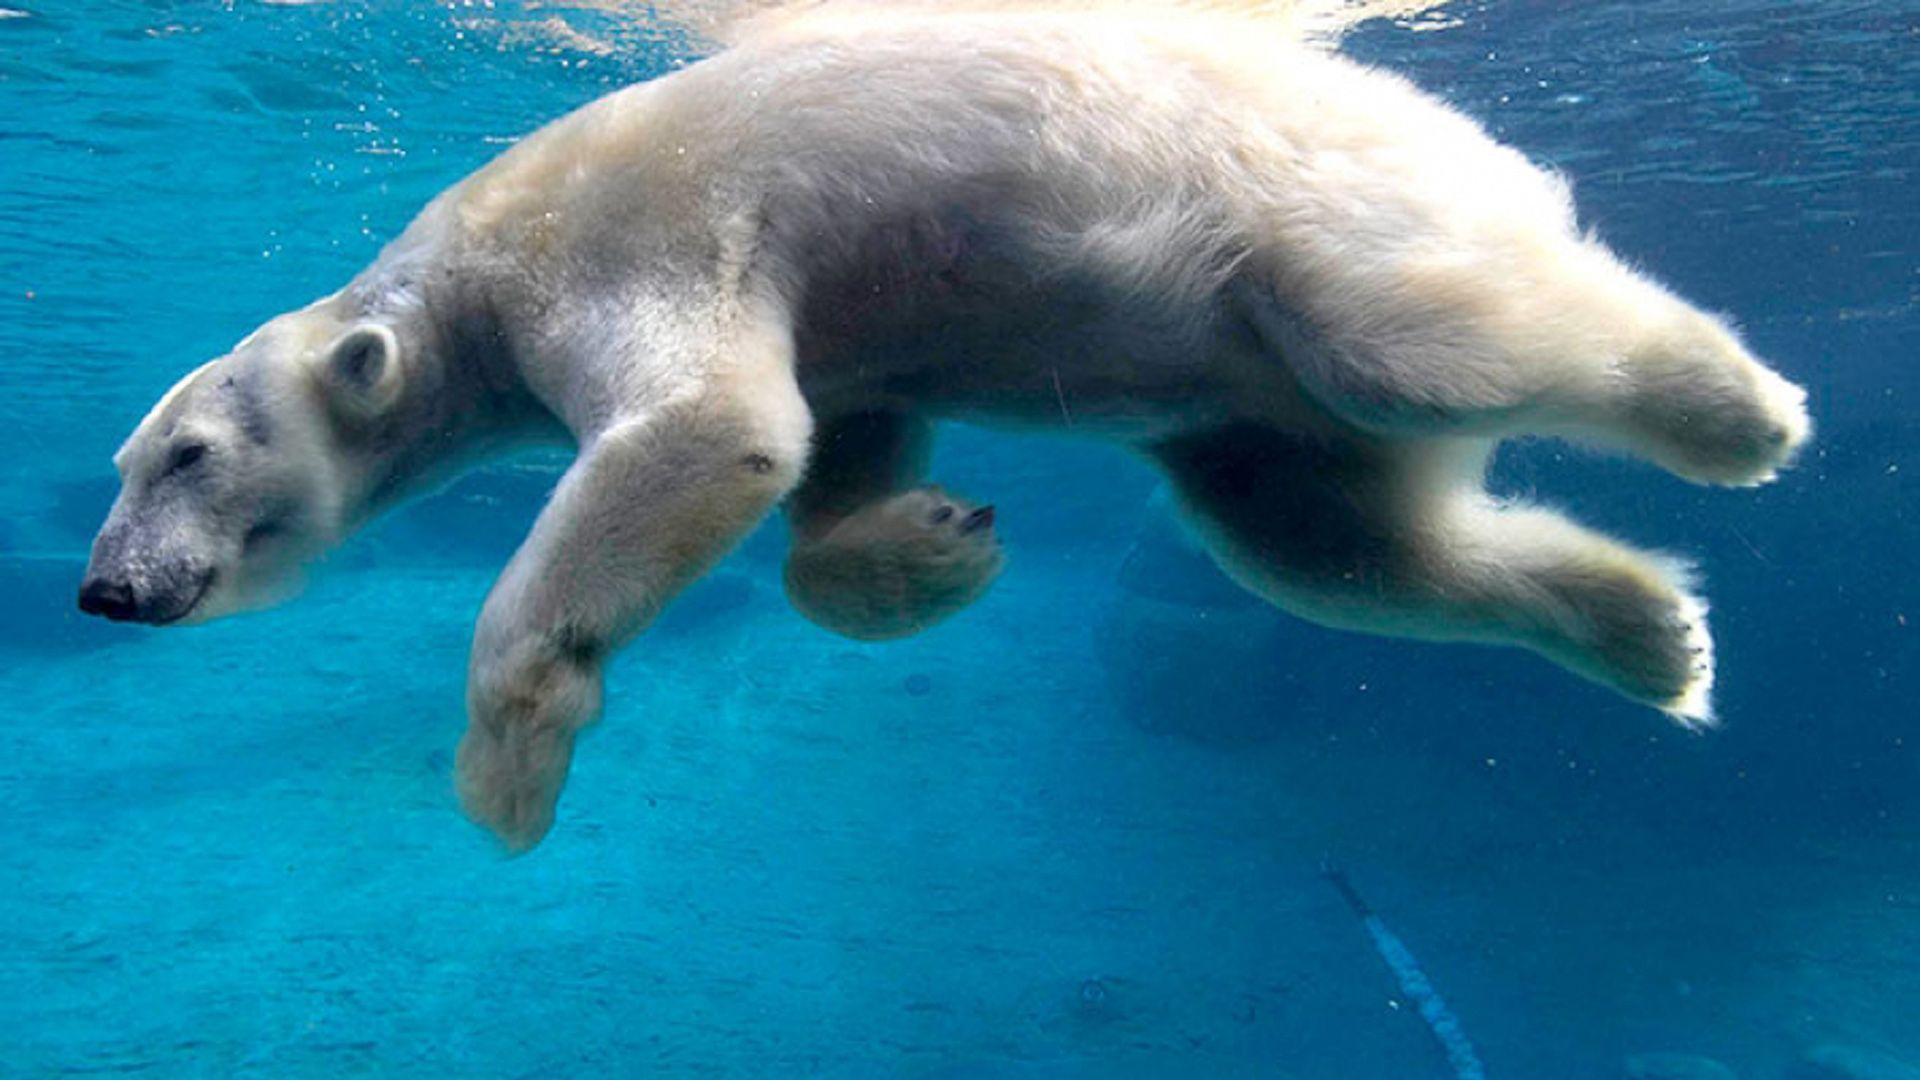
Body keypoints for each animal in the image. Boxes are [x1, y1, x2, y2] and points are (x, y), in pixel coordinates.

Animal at [78, 0, 1810, 852]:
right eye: (122, 464)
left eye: (188, 455)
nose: (103, 589)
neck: (467, 273)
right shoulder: (855, 334)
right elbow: (835, 445)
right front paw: (930, 547)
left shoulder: (625, 242)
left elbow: (708, 423)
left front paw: (506, 775)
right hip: (1246, 398)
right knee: (1323, 538)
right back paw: (1657, 639)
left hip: (1300, 214)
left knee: (1431, 348)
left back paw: (1742, 407)